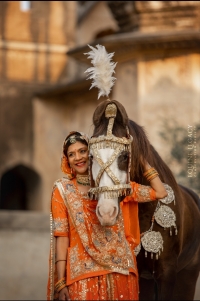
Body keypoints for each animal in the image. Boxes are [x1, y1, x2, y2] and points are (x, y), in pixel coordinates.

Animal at [90, 99, 199, 298]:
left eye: (125, 156)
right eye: (92, 156)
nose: (106, 212)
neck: (144, 213)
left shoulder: (168, 272)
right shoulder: (138, 274)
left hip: (189, 274)